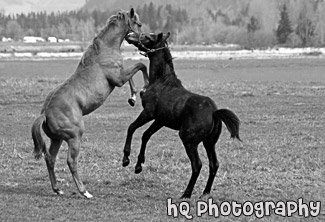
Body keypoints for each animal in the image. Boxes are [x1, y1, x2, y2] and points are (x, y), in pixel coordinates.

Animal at [30, 8, 147, 198]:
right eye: (139, 24)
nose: (142, 40)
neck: (105, 49)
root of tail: (45, 114)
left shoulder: (121, 76)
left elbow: (135, 72)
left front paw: (133, 97)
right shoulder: (119, 78)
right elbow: (141, 65)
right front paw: (143, 89)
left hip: (57, 139)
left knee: (50, 158)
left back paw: (58, 189)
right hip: (74, 137)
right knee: (71, 161)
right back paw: (84, 191)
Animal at [123, 31, 239, 198]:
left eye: (148, 37)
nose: (129, 34)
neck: (161, 81)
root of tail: (215, 113)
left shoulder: (148, 113)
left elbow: (131, 128)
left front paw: (125, 159)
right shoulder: (160, 120)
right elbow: (146, 135)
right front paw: (138, 166)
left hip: (189, 140)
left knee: (197, 165)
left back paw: (186, 193)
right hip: (209, 143)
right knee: (214, 164)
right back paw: (205, 192)